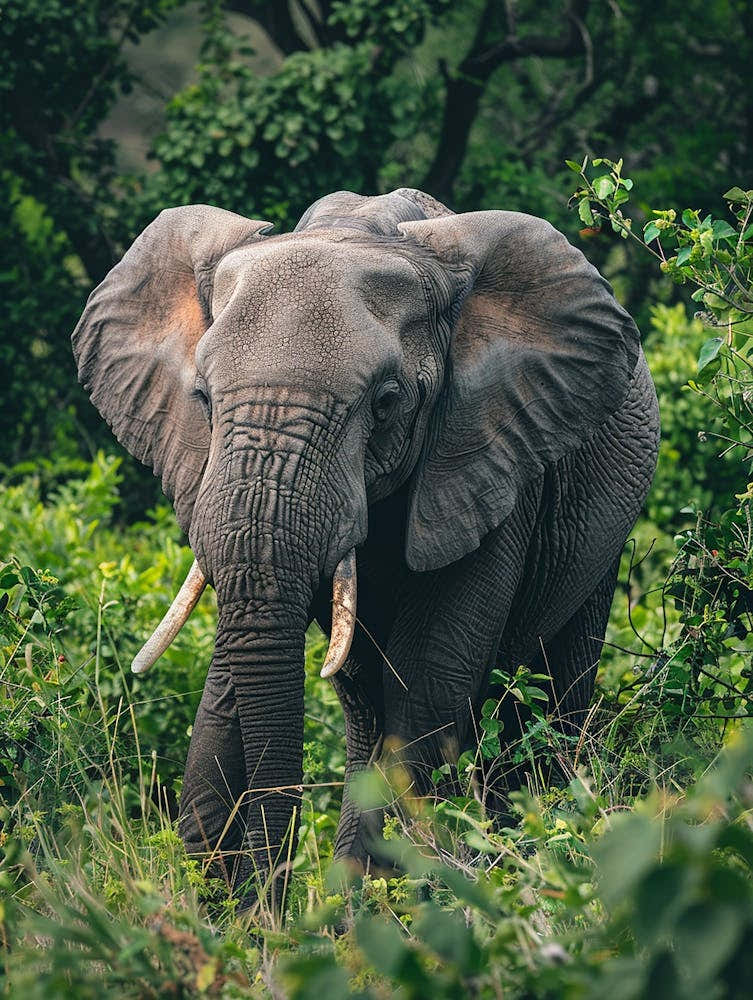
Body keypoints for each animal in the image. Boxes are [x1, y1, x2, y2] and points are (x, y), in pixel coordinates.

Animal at [71, 186, 659, 902]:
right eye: (204, 399)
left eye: (385, 402)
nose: (269, 903)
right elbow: (244, 684)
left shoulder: (490, 459)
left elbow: (426, 681)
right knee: (365, 710)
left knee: (548, 691)